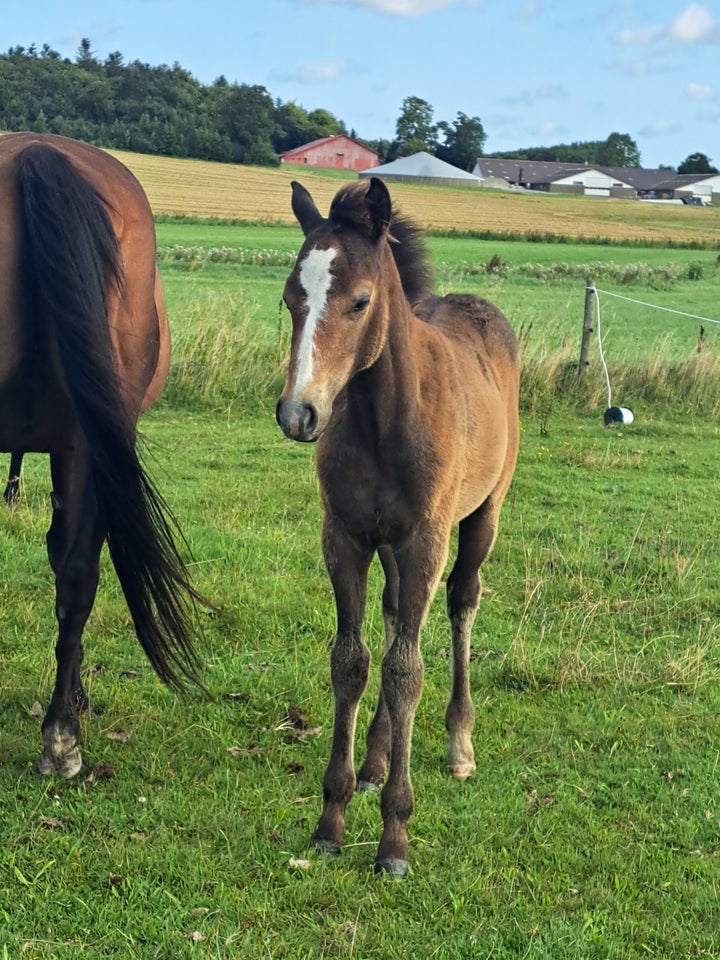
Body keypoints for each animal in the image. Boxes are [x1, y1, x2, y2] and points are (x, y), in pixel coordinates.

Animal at [278, 176, 520, 872]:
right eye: (290, 299)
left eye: (360, 301)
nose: (298, 413)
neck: (384, 421)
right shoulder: (346, 539)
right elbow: (354, 660)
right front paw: (332, 818)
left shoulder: (423, 544)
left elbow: (406, 672)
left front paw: (394, 837)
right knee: (391, 620)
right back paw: (374, 762)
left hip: (482, 516)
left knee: (462, 602)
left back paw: (459, 745)